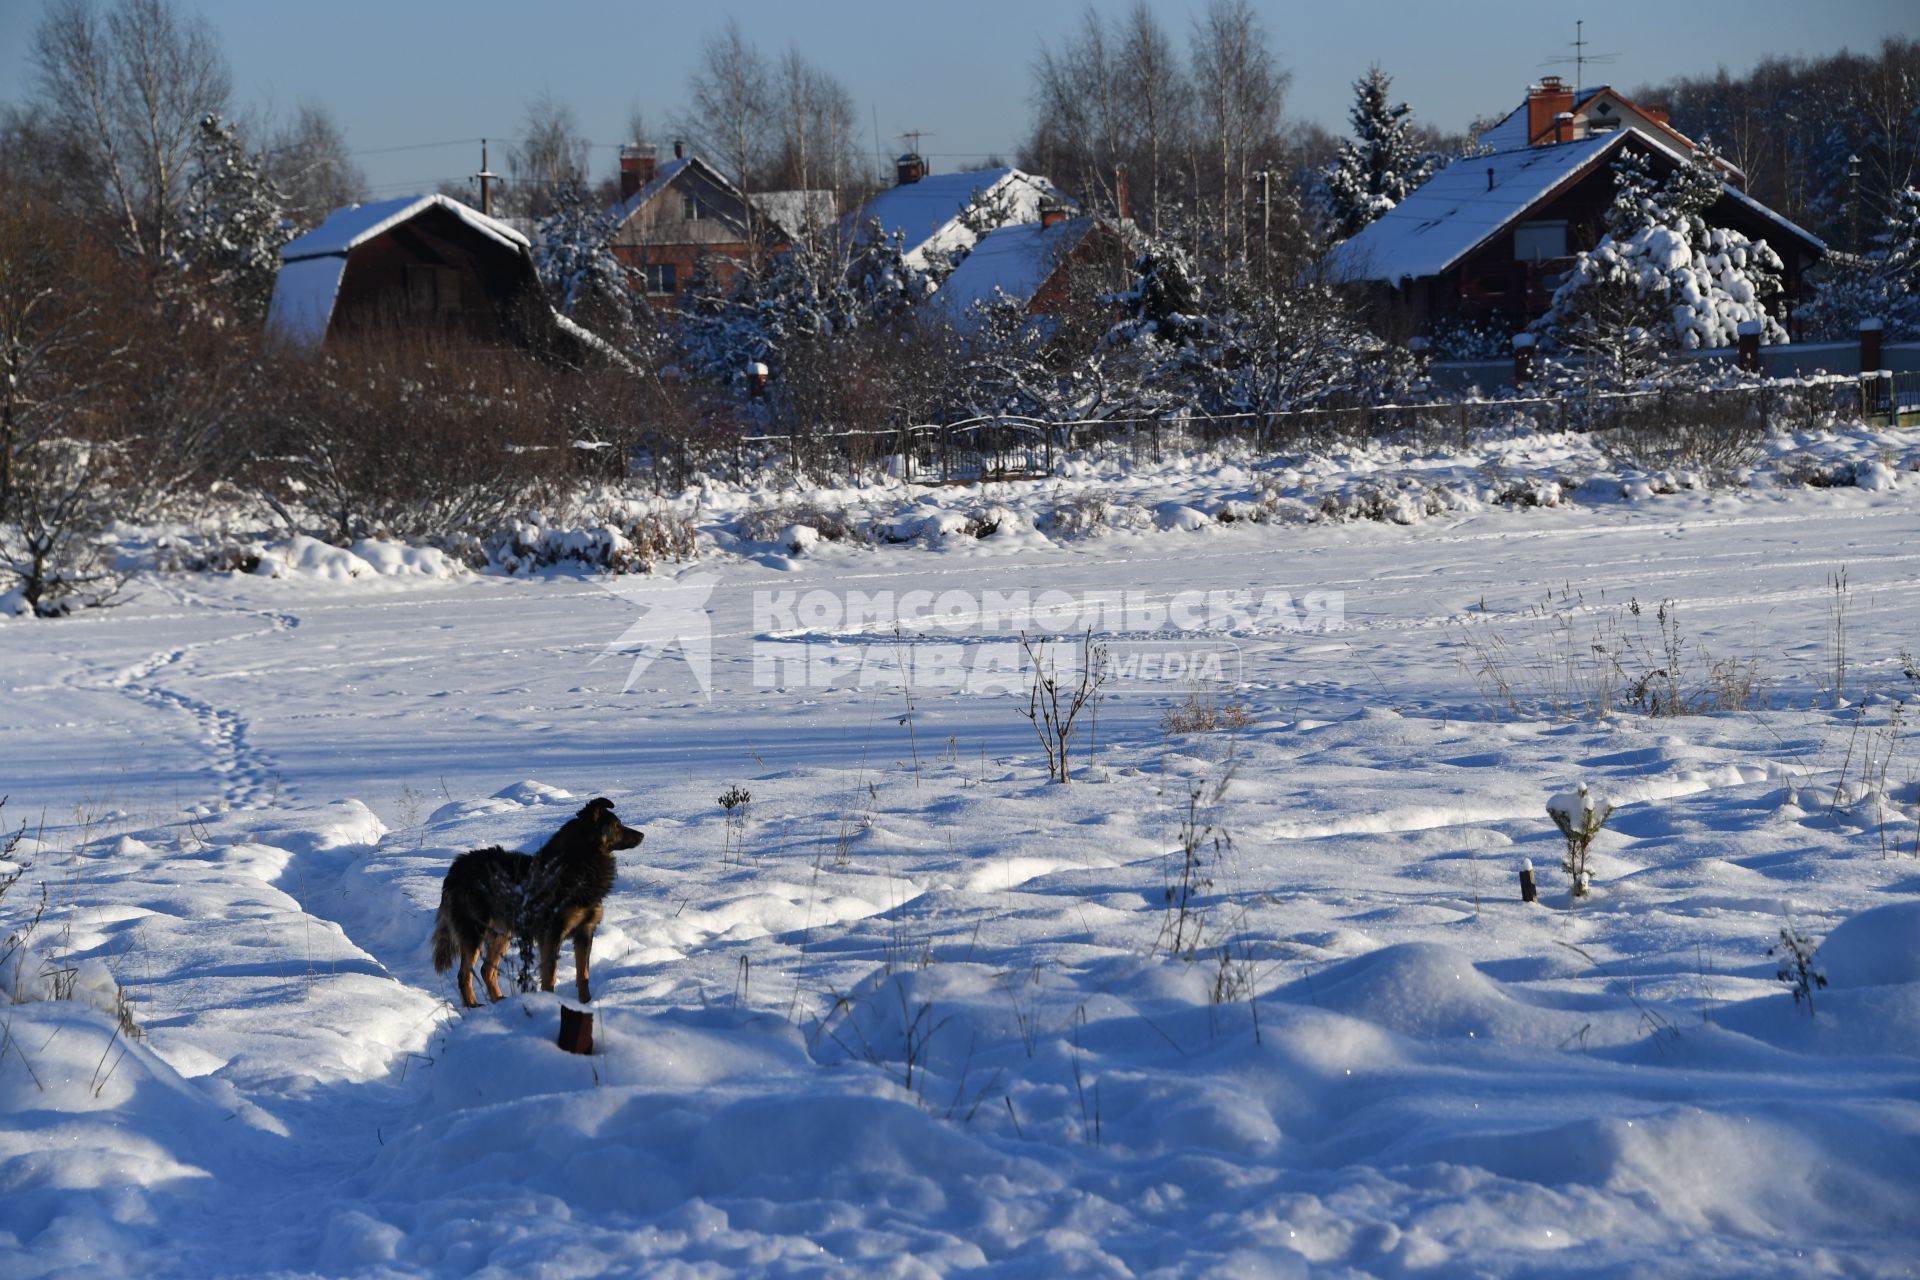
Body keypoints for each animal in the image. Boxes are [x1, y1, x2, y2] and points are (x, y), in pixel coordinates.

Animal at [430, 802, 645, 1013]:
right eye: (616, 825)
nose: (642, 835)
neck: (579, 863)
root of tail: (456, 867)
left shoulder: (585, 930)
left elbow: (583, 974)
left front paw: (586, 1004)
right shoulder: (551, 933)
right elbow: (550, 974)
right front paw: (550, 1004)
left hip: (502, 932)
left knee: (486, 969)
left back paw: (499, 1001)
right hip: (475, 932)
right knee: (465, 973)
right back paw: (472, 1006)